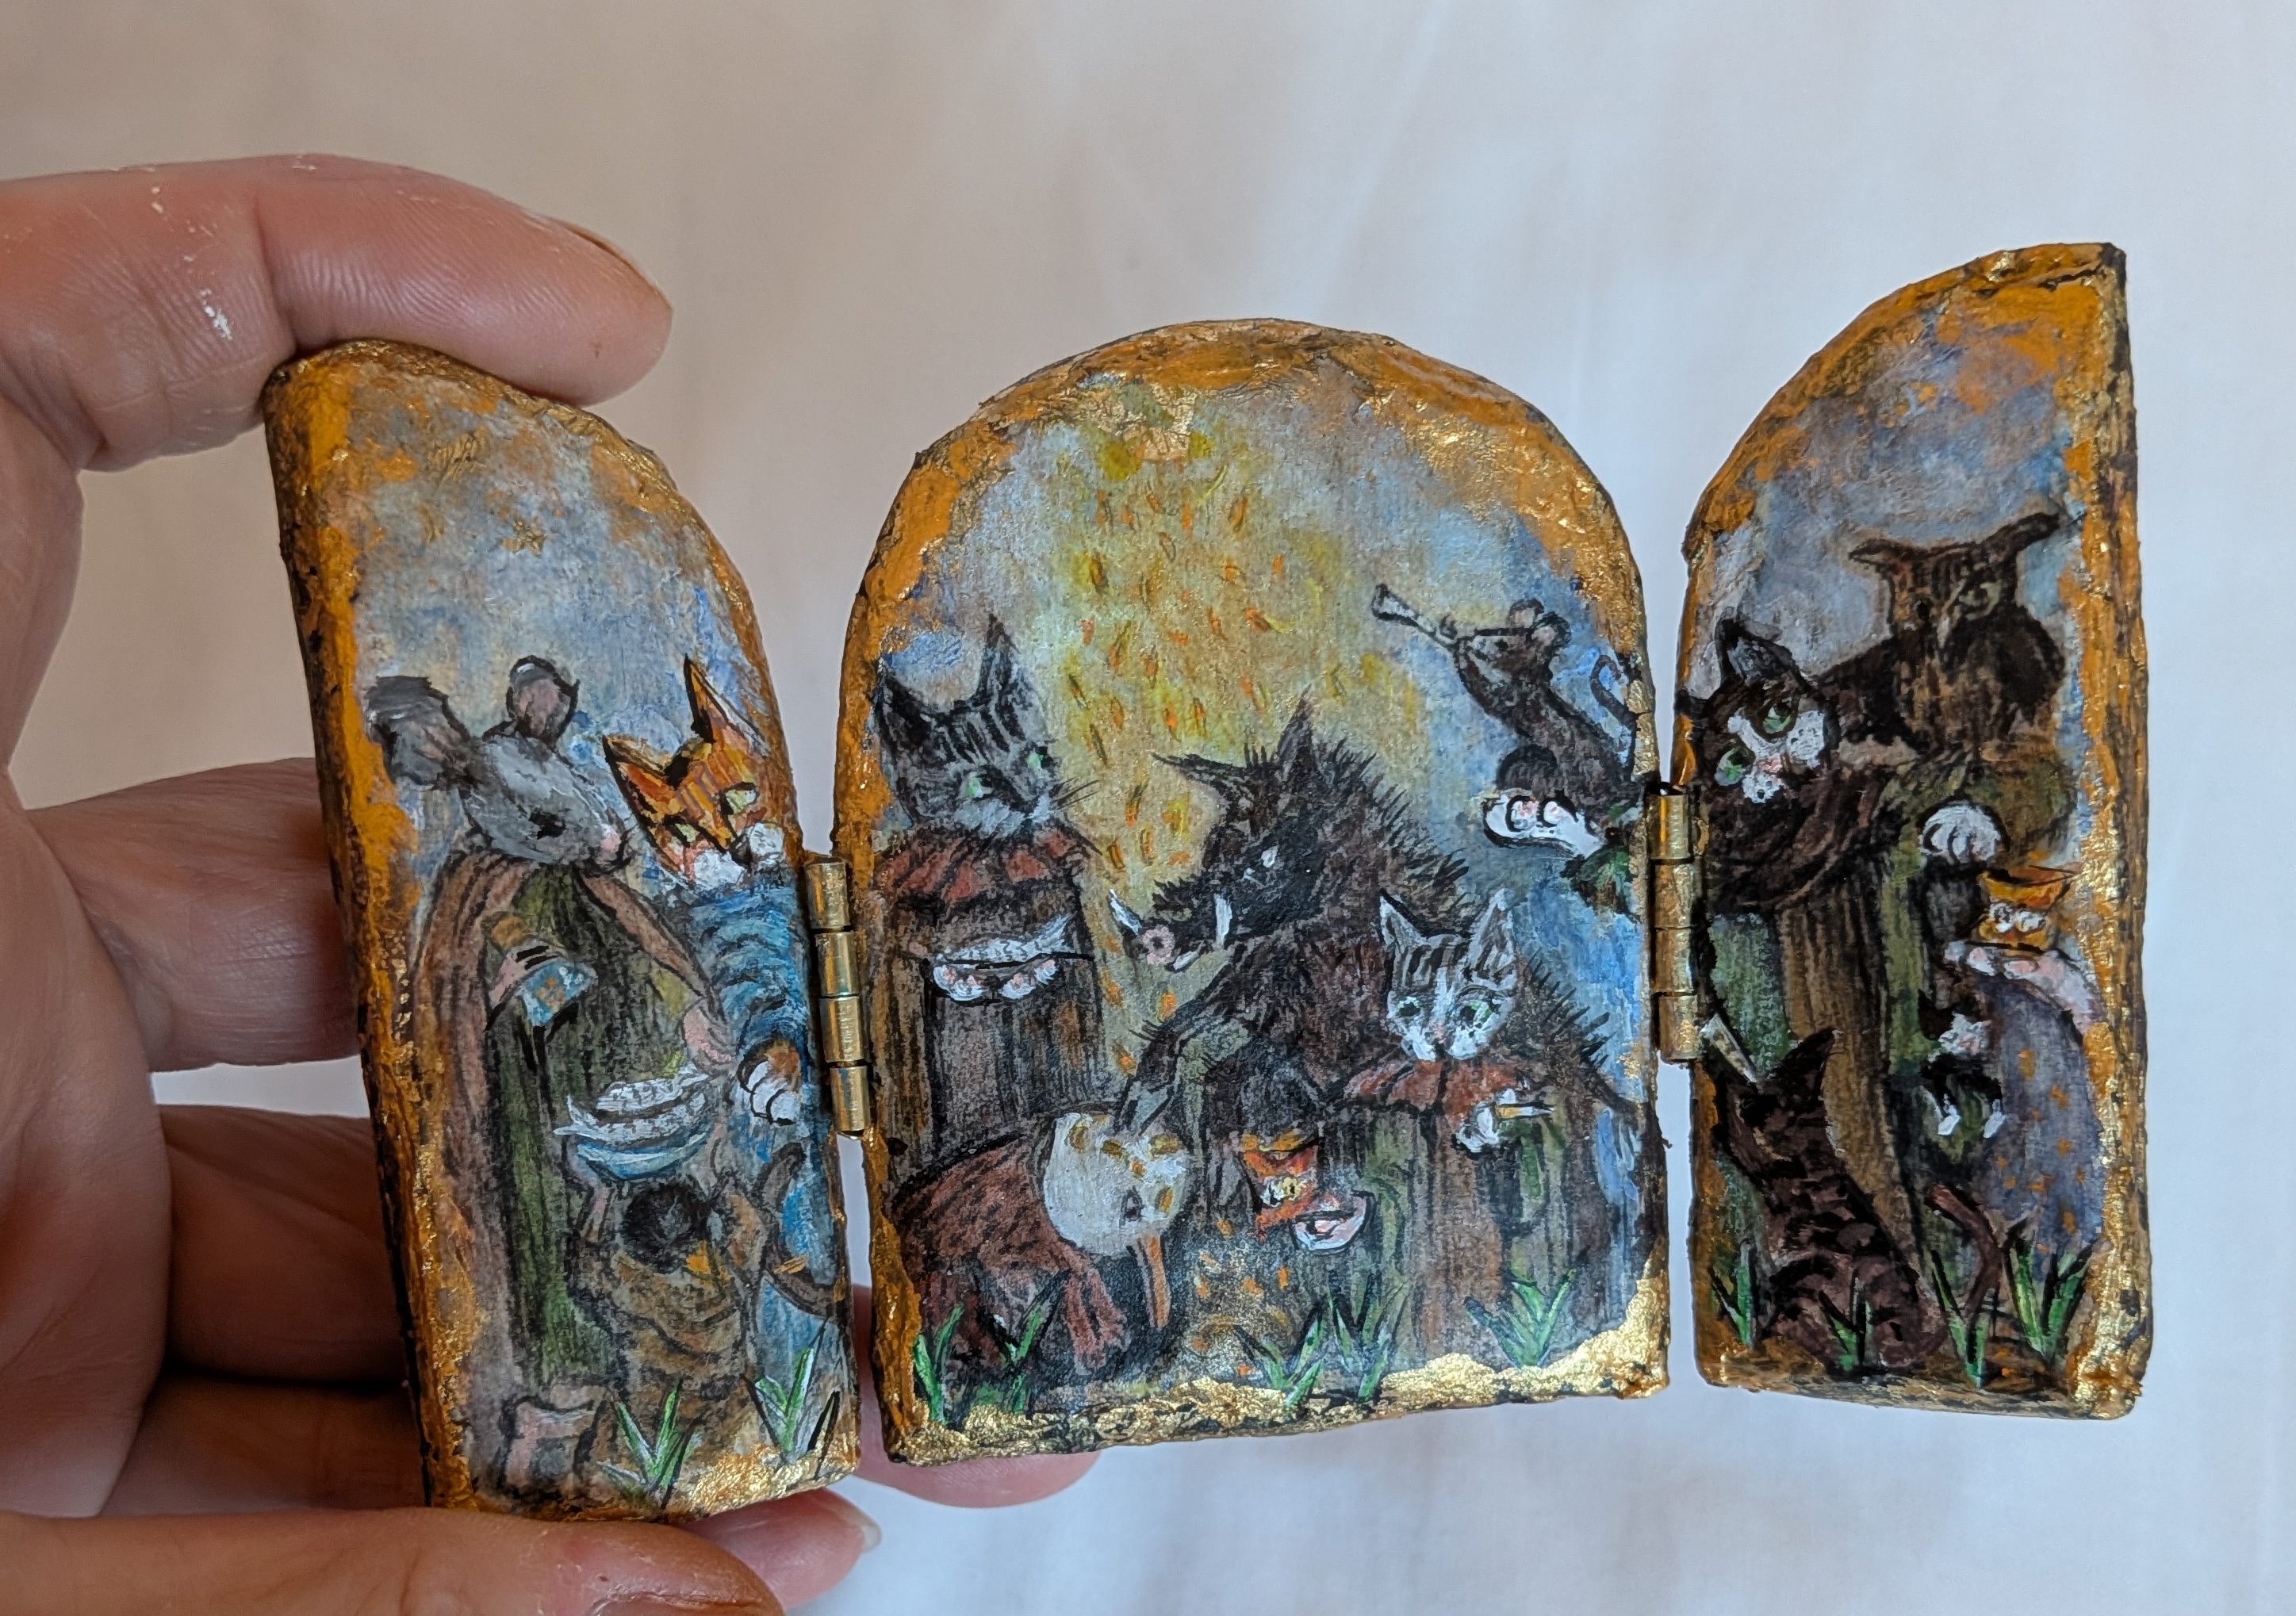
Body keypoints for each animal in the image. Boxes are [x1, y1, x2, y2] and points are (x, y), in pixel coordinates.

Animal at [872, 621, 1108, 1183]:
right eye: (981, 782)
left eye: (1038, 758)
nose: (1030, 801)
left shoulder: (1062, 942)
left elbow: (1045, 956)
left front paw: (1026, 972)